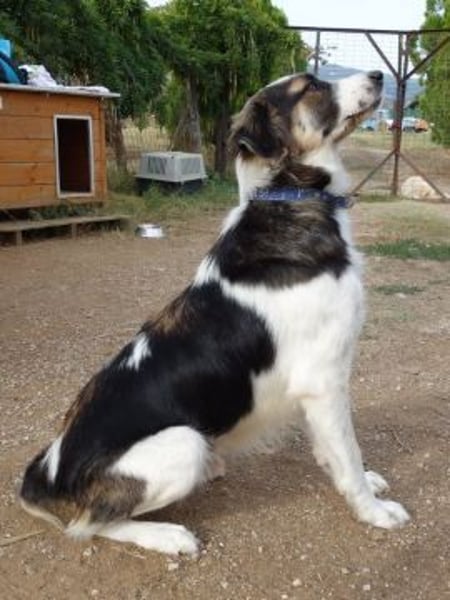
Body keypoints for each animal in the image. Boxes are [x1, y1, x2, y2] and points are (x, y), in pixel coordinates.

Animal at [20, 70, 410, 555]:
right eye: (311, 87)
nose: (379, 75)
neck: (286, 196)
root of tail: (47, 472)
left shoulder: (316, 390)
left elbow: (332, 450)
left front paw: (362, 483)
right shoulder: (323, 380)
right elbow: (350, 454)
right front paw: (373, 511)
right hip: (185, 442)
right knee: (90, 523)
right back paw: (166, 534)